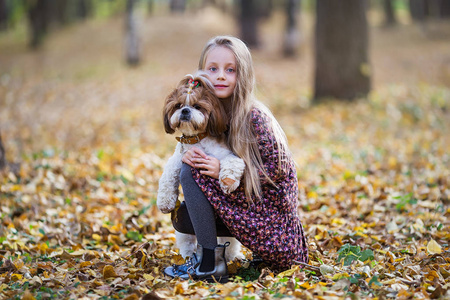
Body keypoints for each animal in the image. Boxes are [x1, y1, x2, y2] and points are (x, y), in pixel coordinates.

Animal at [156, 71, 244, 262]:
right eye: (178, 105)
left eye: (197, 106)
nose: (185, 110)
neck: (197, 140)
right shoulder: (178, 159)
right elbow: (167, 177)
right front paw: (165, 202)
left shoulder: (229, 155)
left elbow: (232, 163)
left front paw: (227, 181)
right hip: (183, 227)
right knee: (187, 242)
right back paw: (189, 256)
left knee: (229, 244)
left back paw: (232, 257)